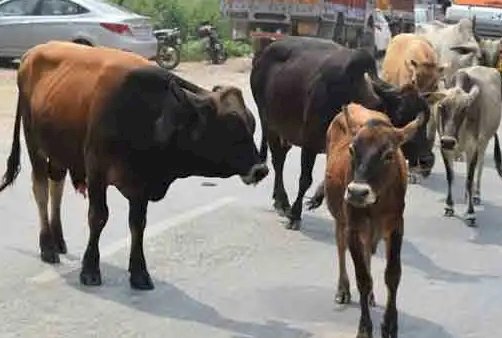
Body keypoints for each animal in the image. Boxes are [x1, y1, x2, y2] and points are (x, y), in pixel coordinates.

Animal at [0, 41, 268, 290]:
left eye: (252, 124)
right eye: (230, 130)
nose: (261, 169)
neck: (149, 115)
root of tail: (31, 53)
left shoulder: (141, 183)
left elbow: (138, 224)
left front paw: (139, 272)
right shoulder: (96, 170)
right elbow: (98, 217)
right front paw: (90, 269)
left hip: (58, 151)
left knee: (56, 186)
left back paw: (58, 240)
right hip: (34, 143)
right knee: (41, 190)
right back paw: (47, 246)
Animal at [322, 103, 424, 338]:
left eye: (389, 154)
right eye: (352, 150)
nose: (357, 193)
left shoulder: (396, 227)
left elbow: (393, 275)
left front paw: (390, 326)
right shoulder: (353, 228)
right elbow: (362, 279)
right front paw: (364, 328)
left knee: (367, 252)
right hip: (341, 219)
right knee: (340, 247)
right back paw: (342, 289)